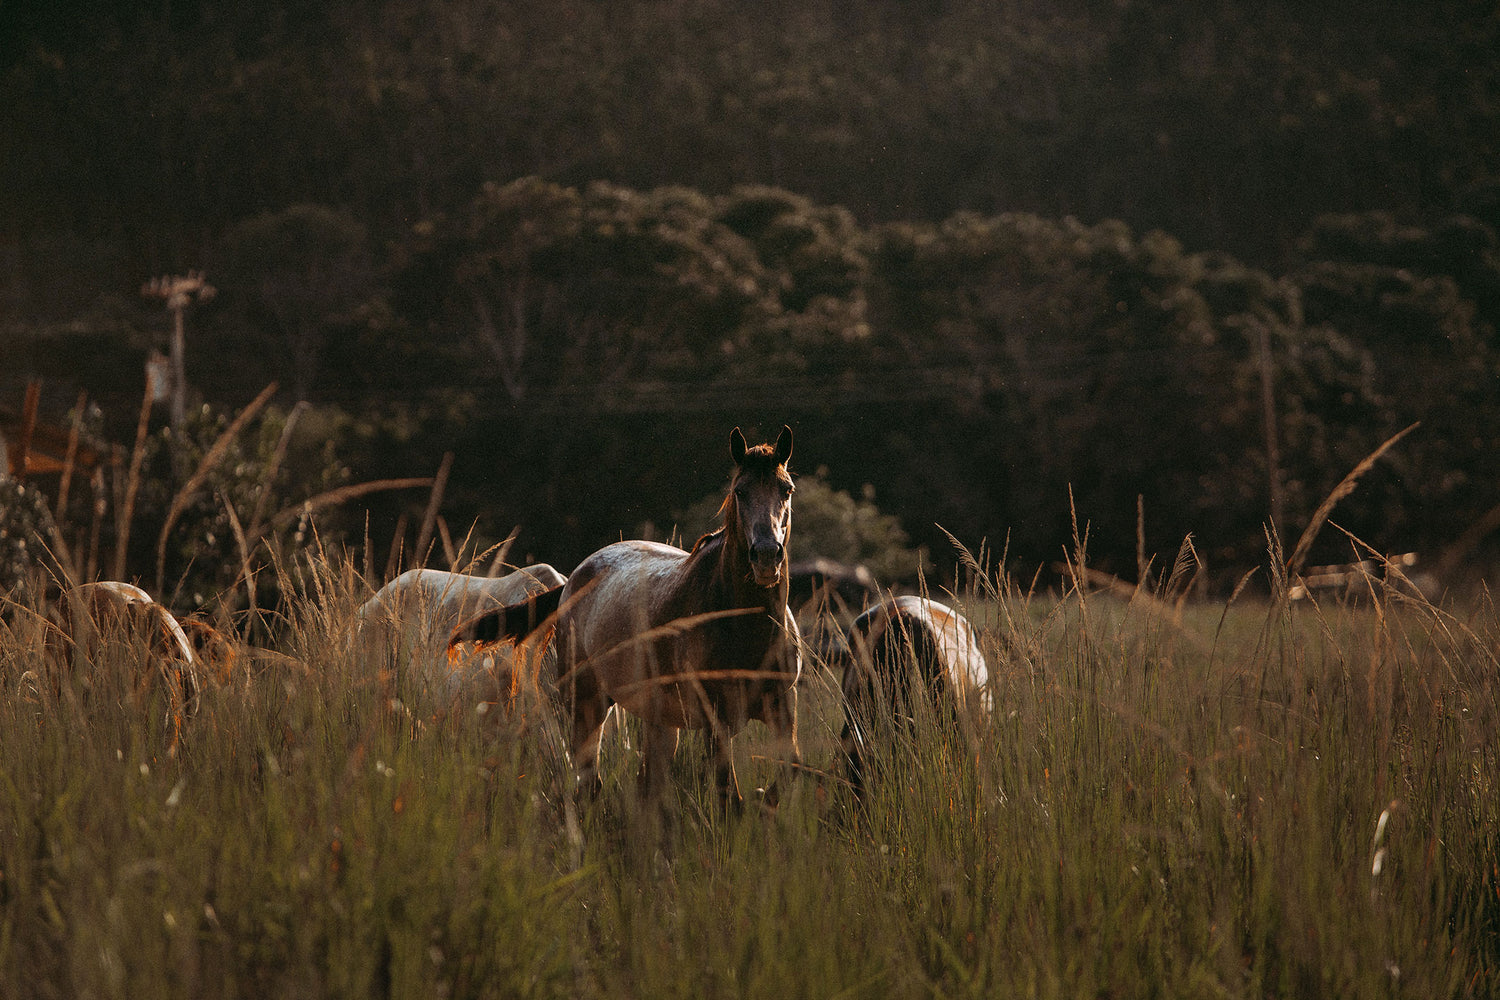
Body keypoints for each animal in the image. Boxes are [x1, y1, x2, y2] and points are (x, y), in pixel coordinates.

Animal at [462, 425, 804, 809]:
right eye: (740, 491)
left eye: (787, 489)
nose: (766, 556)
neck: (742, 624)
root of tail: (572, 579)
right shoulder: (715, 717)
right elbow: (728, 795)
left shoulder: (782, 705)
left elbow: (789, 769)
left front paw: (764, 800)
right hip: (588, 704)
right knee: (589, 782)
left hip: (659, 721)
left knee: (646, 786)